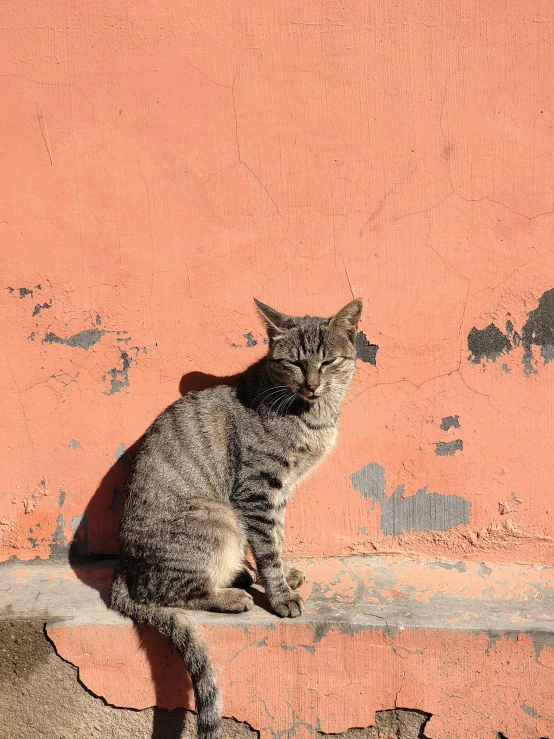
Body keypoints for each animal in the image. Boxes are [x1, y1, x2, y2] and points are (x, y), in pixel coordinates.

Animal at [111, 296, 362, 739]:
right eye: (295, 363)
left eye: (329, 361)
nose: (312, 384)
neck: (312, 414)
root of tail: (124, 570)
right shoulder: (257, 489)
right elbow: (267, 546)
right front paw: (280, 595)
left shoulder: (280, 492)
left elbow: (276, 538)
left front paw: (280, 574)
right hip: (218, 520)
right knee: (165, 592)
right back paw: (231, 595)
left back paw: (240, 575)